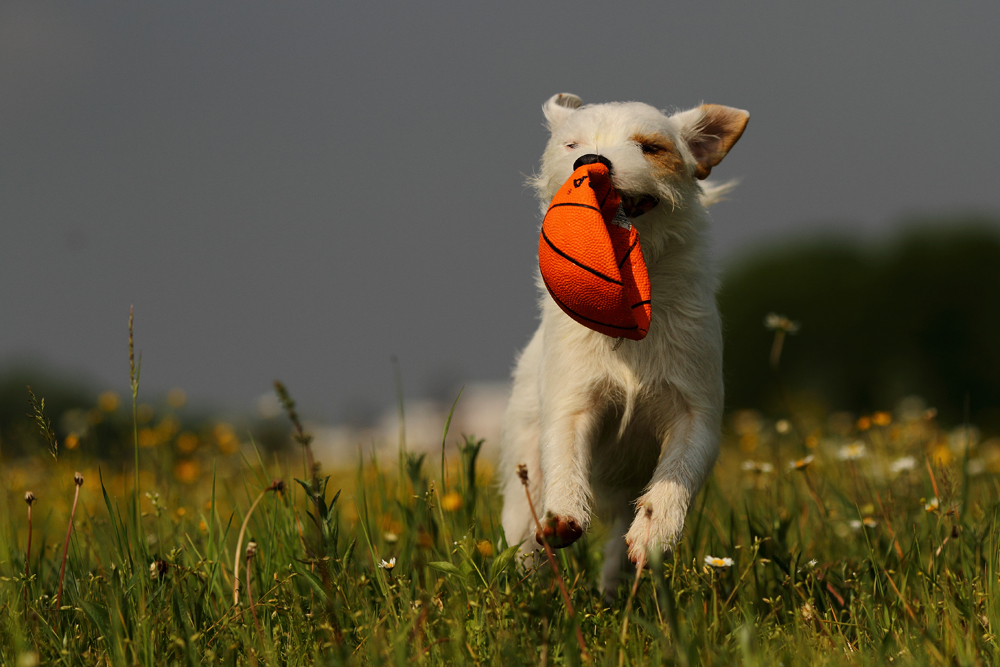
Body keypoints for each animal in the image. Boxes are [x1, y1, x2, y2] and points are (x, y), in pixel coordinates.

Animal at [496, 94, 748, 596]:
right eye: (571, 144)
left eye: (650, 148)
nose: (590, 161)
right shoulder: (572, 403)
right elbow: (565, 455)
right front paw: (565, 513)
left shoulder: (696, 414)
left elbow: (677, 473)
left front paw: (655, 529)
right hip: (521, 478)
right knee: (524, 536)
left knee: (616, 546)